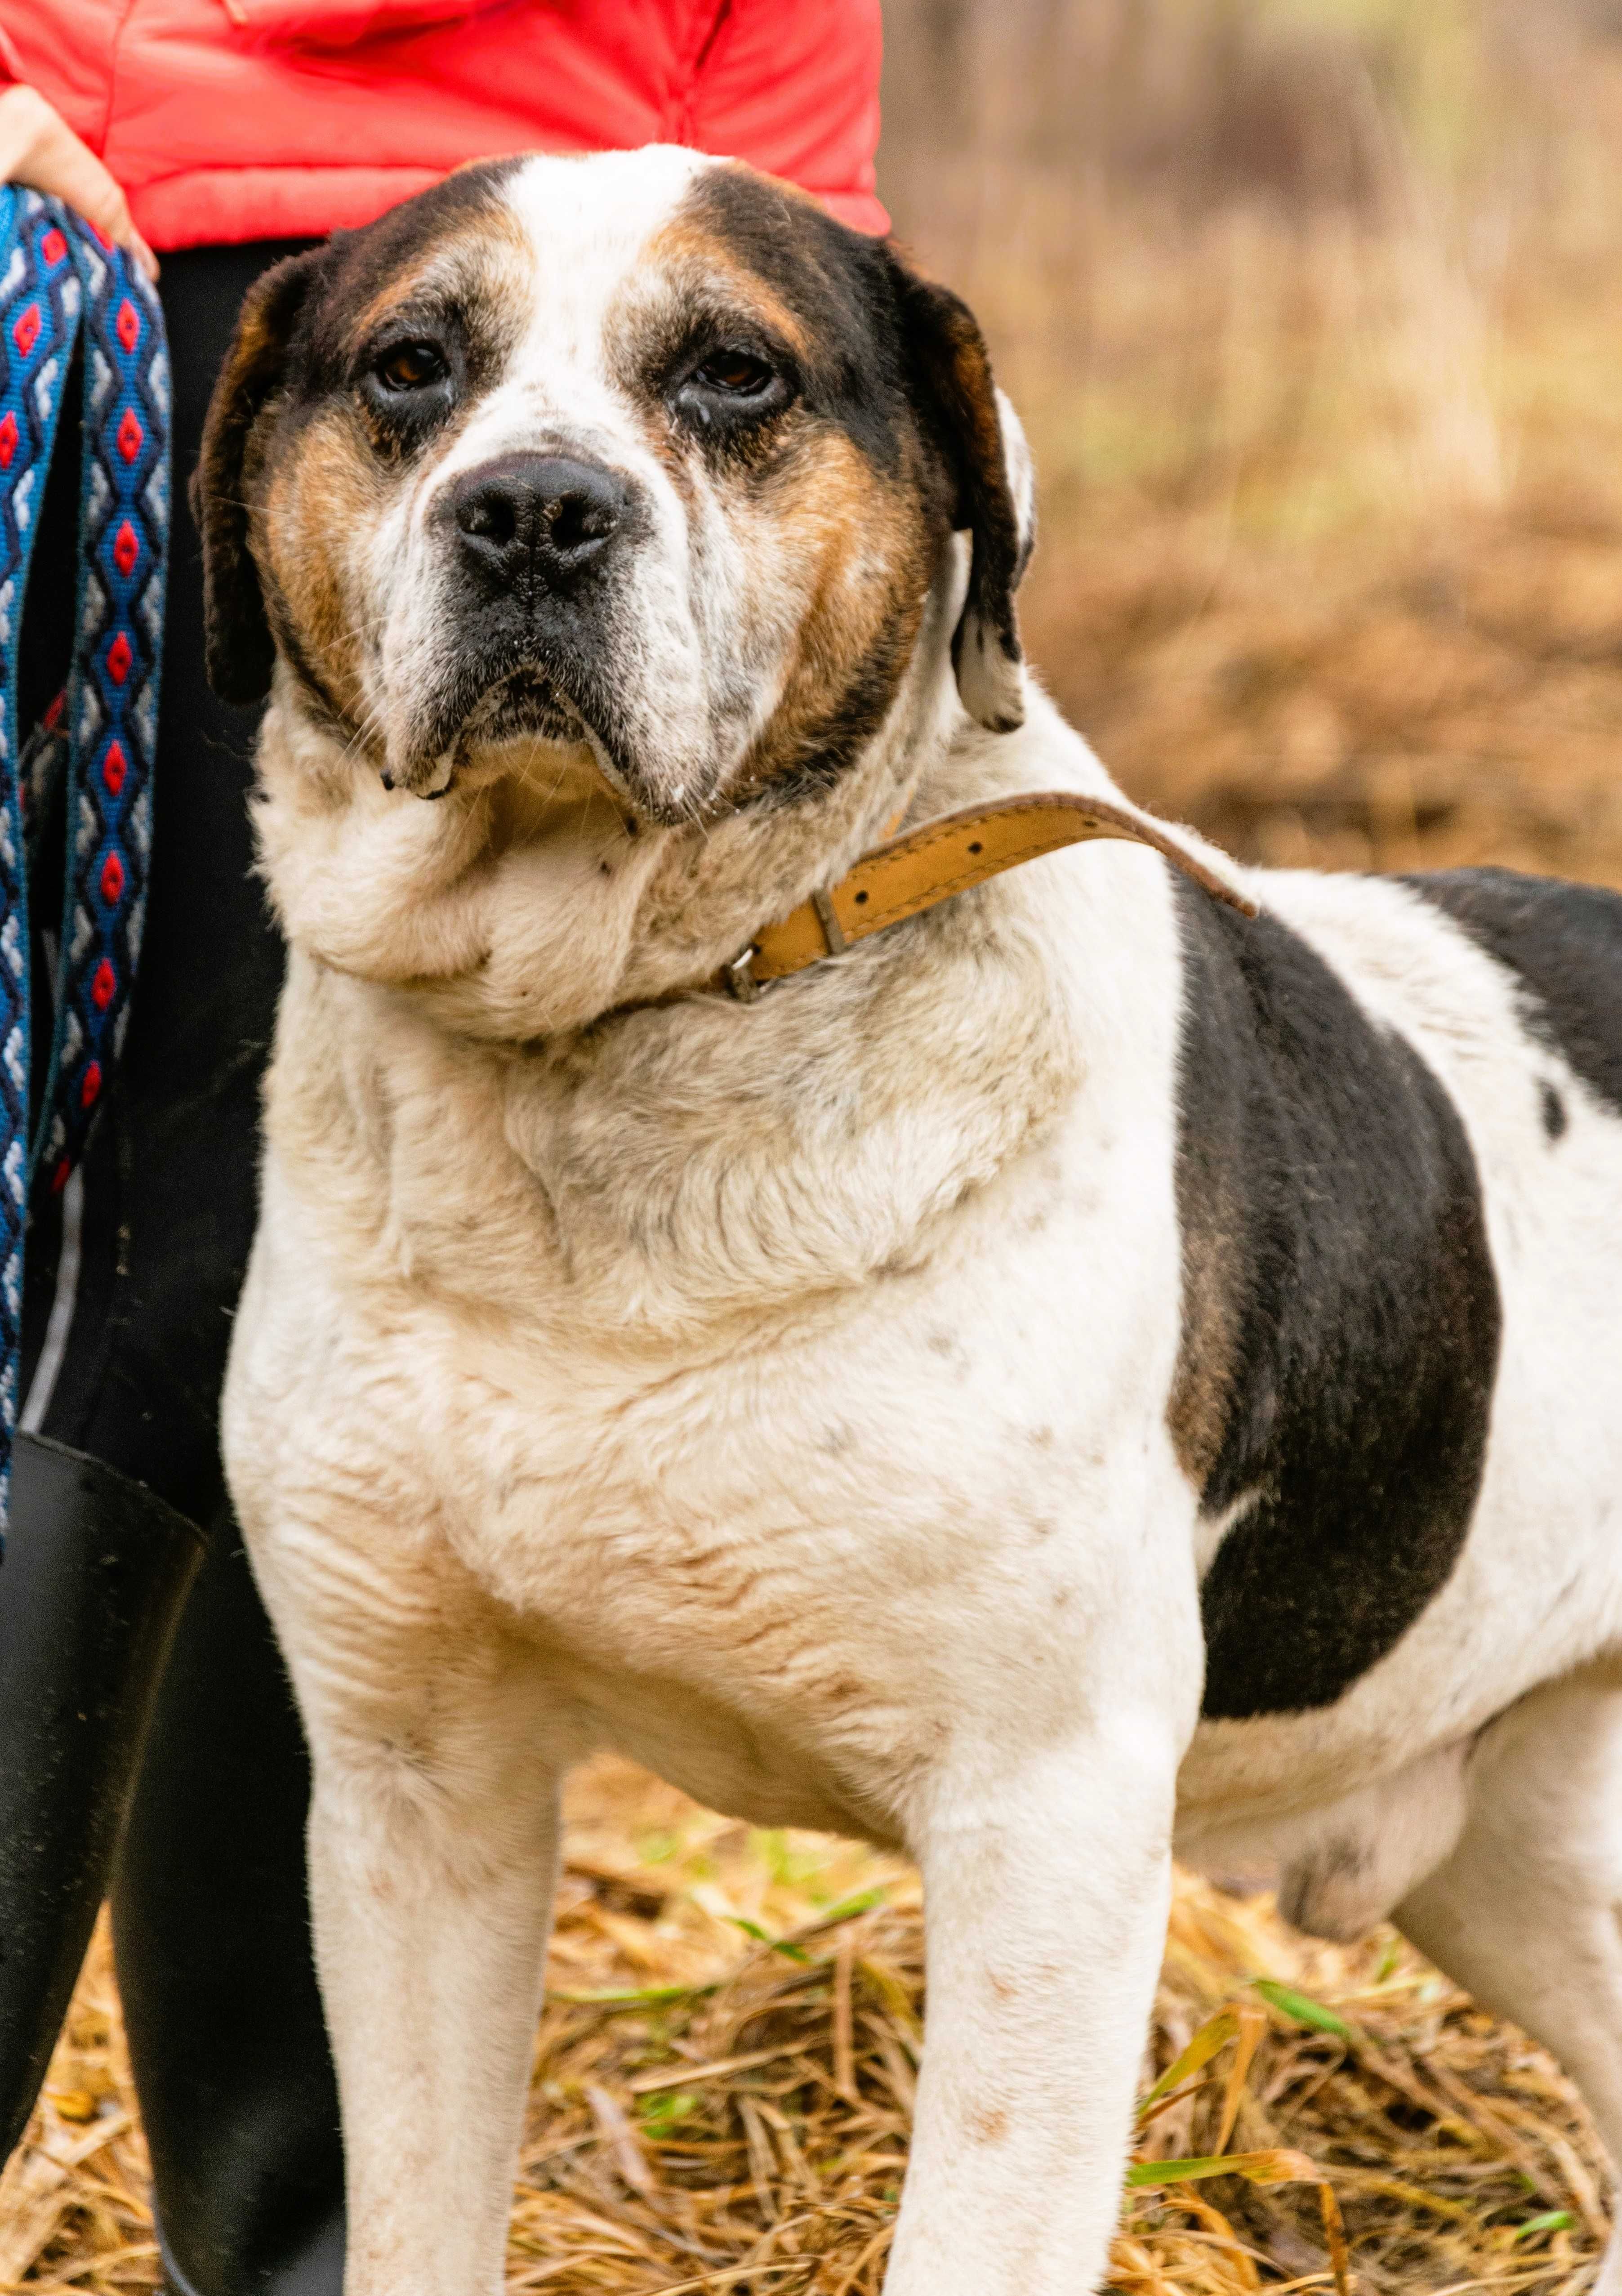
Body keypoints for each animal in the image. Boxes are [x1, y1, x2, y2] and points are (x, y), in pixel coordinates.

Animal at [206, 148, 1622, 2296]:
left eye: (733, 373)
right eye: (407, 367)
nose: (532, 508)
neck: (629, 1041)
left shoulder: (1049, 1823)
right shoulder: (412, 1789)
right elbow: (417, 2207)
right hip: (1522, 1833)